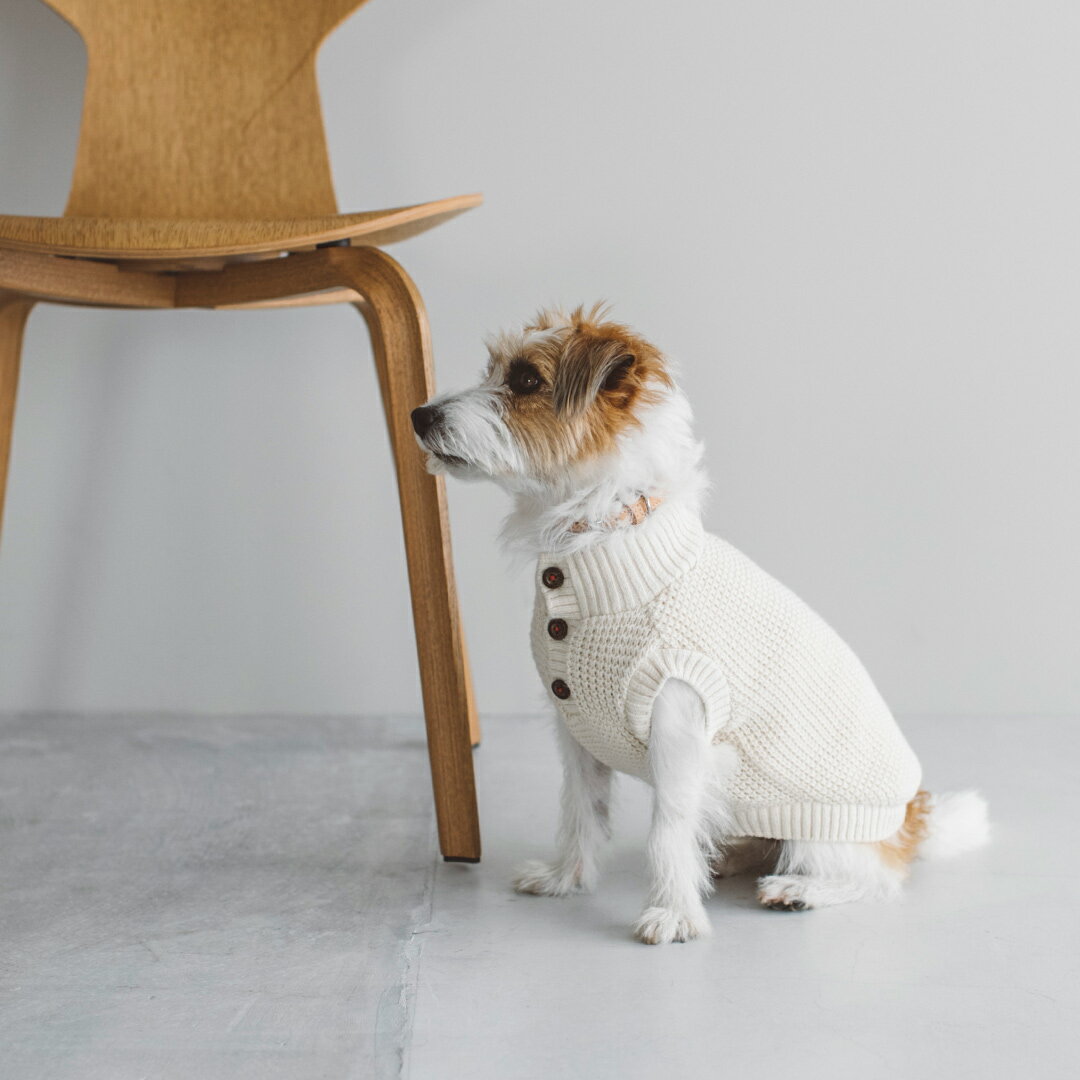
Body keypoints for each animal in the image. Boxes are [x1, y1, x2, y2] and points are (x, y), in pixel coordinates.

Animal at [410, 306, 989, 946]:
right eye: (492, 371)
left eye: (527, 381)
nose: (419, 414)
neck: (604, 536)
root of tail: (913, 816)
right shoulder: (576, 731)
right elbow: (580, 809)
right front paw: (568, 878)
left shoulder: (680, 730)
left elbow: (668, 828)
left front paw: (673, 913)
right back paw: (730, 856)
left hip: (823, 825)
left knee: (876, 877)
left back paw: (799, 888)